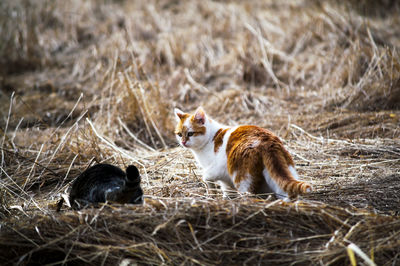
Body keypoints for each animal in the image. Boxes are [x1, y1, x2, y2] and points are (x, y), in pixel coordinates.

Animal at [173, 106, 310, 200]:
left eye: (190, 133)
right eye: (179, 134)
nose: (183, 142)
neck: (210, 138)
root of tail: (267, 141)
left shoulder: (218, 168)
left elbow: (206, 176)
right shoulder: (225, 180)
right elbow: (227, 189)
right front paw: (226, 199)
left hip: (242, 176)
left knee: (248, 194)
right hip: (282, 171)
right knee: (286, 190)